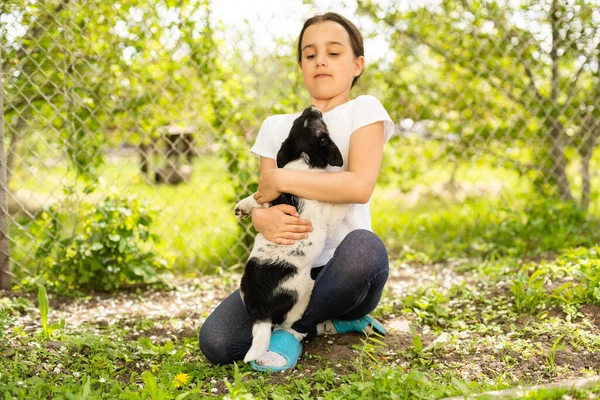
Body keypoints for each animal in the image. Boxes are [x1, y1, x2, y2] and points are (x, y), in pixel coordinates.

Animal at [232, 105, 350, 362]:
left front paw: (243, 207)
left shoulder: (271, 198)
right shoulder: (328, 213)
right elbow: (342, 203)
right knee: (289, 322)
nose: (312, 107)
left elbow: (257, 199)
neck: (302, 159)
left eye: (299, 118)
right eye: (314, 118)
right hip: (301, 290)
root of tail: (260, 311)